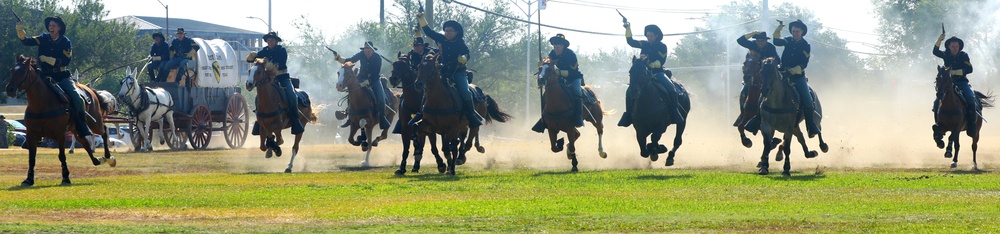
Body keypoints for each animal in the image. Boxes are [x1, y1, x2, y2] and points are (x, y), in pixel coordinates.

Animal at [6, 54, 115, 186]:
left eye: (22, 71)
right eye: (11, 70)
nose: (10, 89)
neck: (42, 104)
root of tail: (90, 90)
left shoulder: (60, 134)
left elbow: (61, 156)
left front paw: (65, 177)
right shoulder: (32, 134)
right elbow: (32, 158)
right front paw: (29, 179)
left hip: (94, 123)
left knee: (104, 131)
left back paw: (109, 158)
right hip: (77, 128)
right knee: (85, 142)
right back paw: (98, 160)